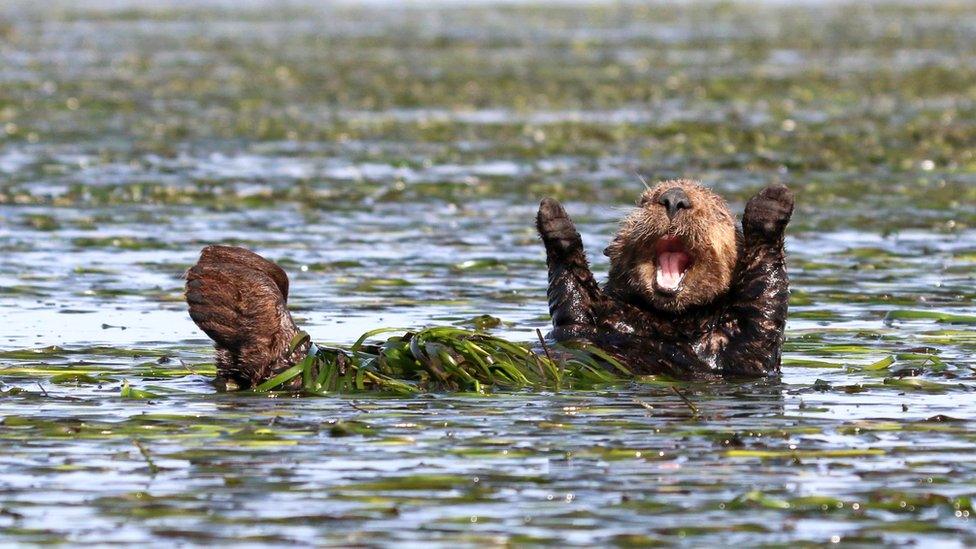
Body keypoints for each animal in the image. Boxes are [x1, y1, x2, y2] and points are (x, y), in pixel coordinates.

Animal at [183, 180, 792, 386]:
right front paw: (556, 220)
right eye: (647, 197)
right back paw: (229, 282)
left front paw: (771, 207)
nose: (675, 199)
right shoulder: (588, 319)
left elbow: (764, 298)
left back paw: (226, 289)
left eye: (716, 209)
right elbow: (572, 292)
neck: (659, 321)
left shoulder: (741, 348)